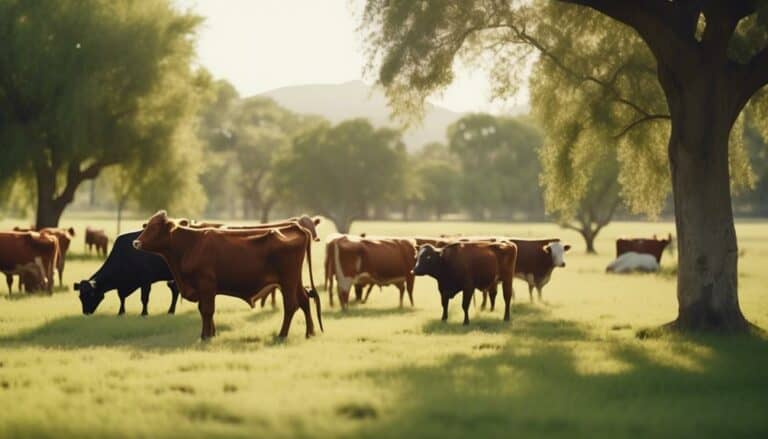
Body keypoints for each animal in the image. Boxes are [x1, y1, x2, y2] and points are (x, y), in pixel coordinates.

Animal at [135, 211, 320, 342]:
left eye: (154, 228)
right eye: (147, 226)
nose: (135, 242)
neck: (191, 244)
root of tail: (295, 227)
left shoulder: (206, 284)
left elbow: (207, 310)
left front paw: (205, 336)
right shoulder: (205, 289)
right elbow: (205, 310)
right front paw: (211, 333)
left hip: (287, 281)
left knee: (291, 305)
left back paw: (282, 335)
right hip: (294, 281)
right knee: (304, 300)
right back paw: (310, 333)